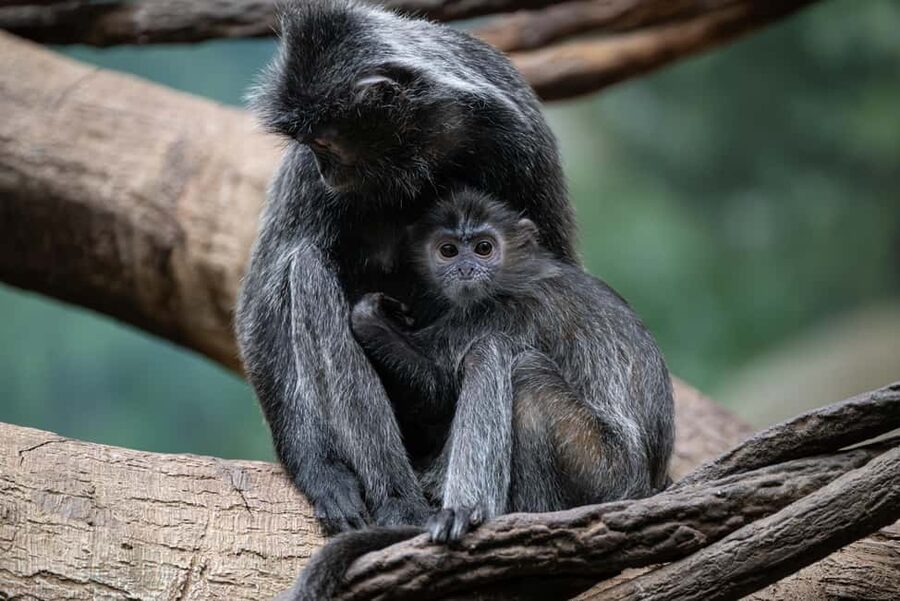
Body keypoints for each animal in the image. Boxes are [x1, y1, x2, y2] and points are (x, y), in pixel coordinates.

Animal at [235, 0, 575, 534]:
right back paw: (397, 500)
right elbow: (261, 304)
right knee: (305, 266)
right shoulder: (308, 180)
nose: (323, 166)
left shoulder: (521, 139)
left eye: (325, 143)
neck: (420, 155)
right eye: (311, 146)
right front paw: (322, 473)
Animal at [287, 189, 674, 600]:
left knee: (513, 366)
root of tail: (646, 484)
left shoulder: (509, 310)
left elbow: (439, 390)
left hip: (604, 470)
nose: (466, 269)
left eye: (484, 248)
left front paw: (370, 317)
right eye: (448, 251)